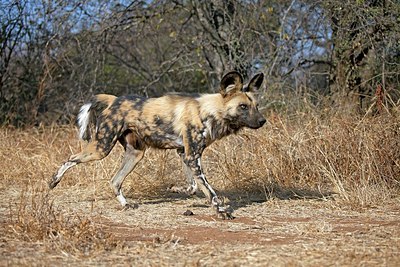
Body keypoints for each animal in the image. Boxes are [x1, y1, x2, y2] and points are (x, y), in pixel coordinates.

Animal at [50, 71, 268, 220]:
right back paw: (53, 181)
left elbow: (192, 186)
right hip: (101, 148)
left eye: (256, 106)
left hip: (135, 154)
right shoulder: (192, 156)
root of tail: (114, 99)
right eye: (243, 107)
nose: (262, 121)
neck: (209, 111)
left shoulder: (185, 153)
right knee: (71, 159)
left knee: (115, 180)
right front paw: (221, 212)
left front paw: (177, 190)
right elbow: (210, 191)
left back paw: (125, 204)